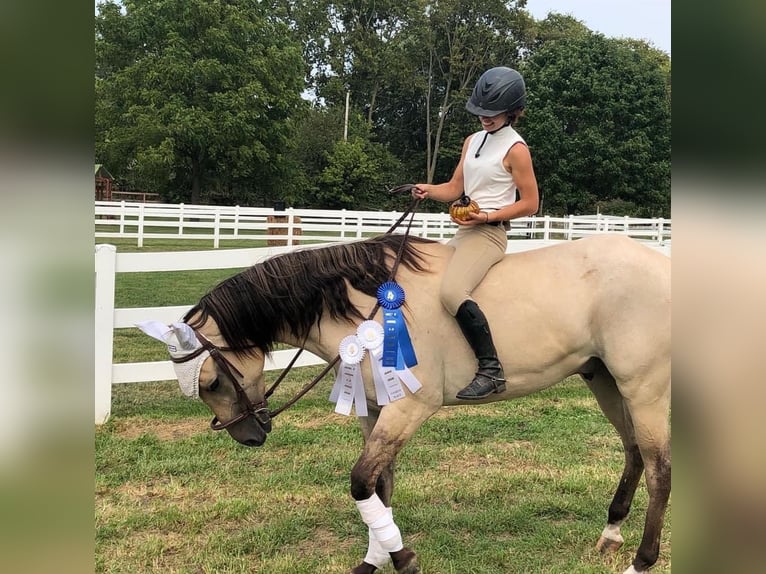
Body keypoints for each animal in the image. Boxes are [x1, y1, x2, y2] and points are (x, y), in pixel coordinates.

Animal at [140, 234, 672, 574]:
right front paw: (374, 559)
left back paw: (640, 562)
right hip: (604, 380)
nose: (249, 436)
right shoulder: (376, 411)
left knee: (659, 469)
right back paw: (611, 533)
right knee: (633, 453)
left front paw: (403, 559)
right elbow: (379, 487)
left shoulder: (409, 409)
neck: (368, 307)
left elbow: (360, 482)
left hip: (643, 387)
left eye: (211, 381)